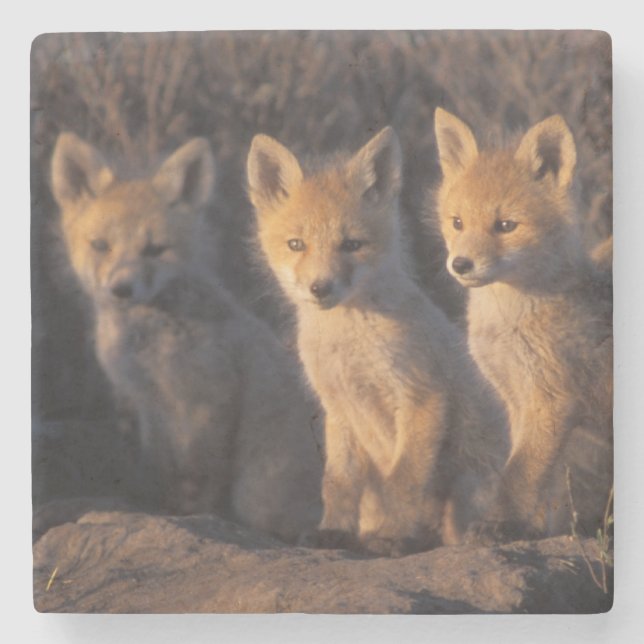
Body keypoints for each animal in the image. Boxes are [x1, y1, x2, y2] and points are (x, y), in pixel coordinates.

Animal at [50, 132, 323, 542]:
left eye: (155, 250)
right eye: (100, 246)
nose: (121, 290)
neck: (149, 349)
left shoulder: (207, 404)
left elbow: (200, 478)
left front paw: (194, 516)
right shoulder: (149, 406)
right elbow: (161, 468)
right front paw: (163, 508)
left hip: (259, 490)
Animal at [246, 126, 509, 556]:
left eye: (351, 245)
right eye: (296, 245)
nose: (321, 288)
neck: (350, 350)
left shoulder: (421, 396)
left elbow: (402, 481)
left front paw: (391, 537)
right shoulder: (338, 409)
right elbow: (337, 483)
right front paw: (333, 531)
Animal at [433, 108, 613, 542]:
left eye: (506, 226)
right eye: (457, 222)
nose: (460, 264)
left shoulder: (550, 400)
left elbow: (518, 476)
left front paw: (498, 525)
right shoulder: (516, 399)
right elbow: (532, 479)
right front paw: (527, 528)